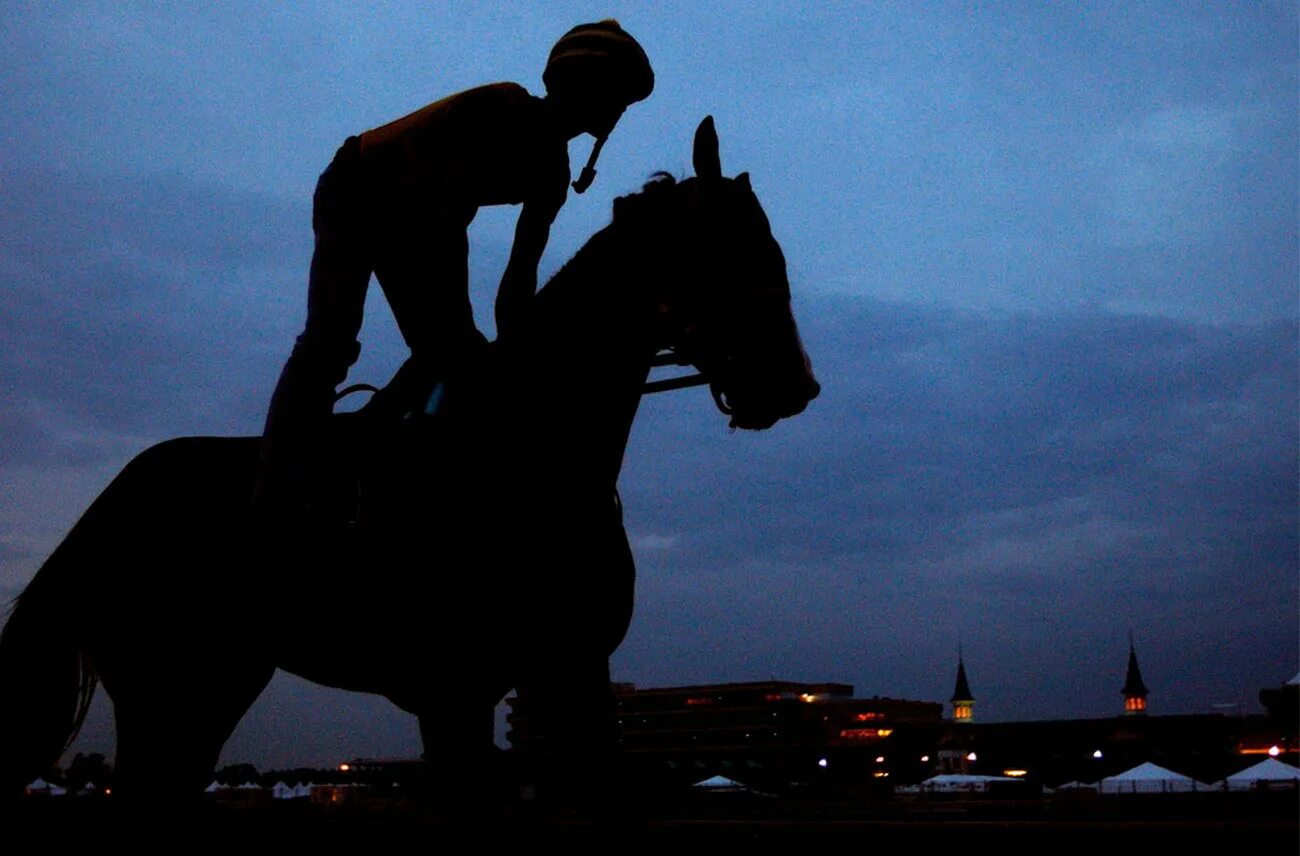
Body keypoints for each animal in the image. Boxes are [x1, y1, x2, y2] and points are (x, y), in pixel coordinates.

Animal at [0, 116, 811, 801]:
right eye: (736, 252)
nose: (797, 383)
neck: (529, 455)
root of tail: (104, 509)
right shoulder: (456, 691)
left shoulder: (572, 669)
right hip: (165, 686)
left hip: (217, 682)